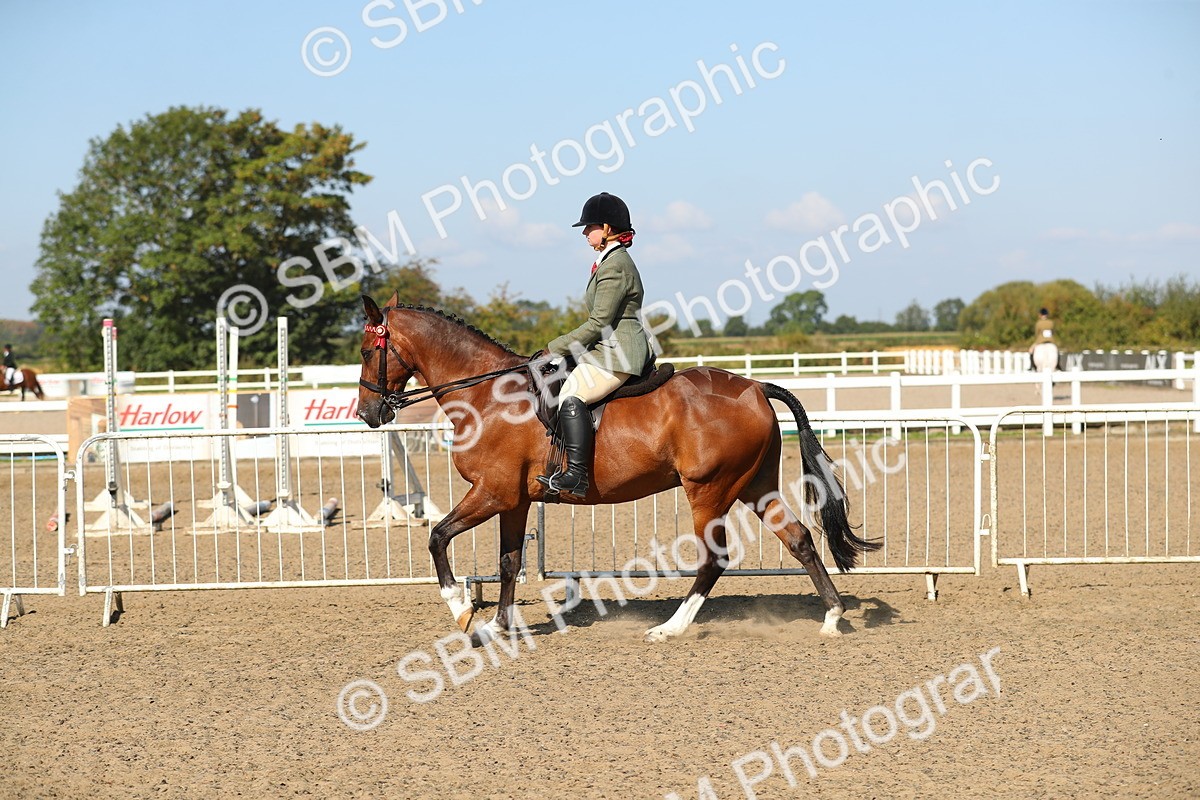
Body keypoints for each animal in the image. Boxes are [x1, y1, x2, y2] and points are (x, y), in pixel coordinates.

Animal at [356, 293, 879, 644]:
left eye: (365, 352)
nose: (367, 414)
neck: (487, 396)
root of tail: (754, 386)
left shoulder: (492, 493)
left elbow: (437, 536)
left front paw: (462, 611)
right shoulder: (514, 500)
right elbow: (508, 562)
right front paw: (498, 627)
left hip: (708, 489)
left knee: (715, 558)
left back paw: (670, 628)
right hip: (755, 485)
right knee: (799, 538)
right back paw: (832, 617)